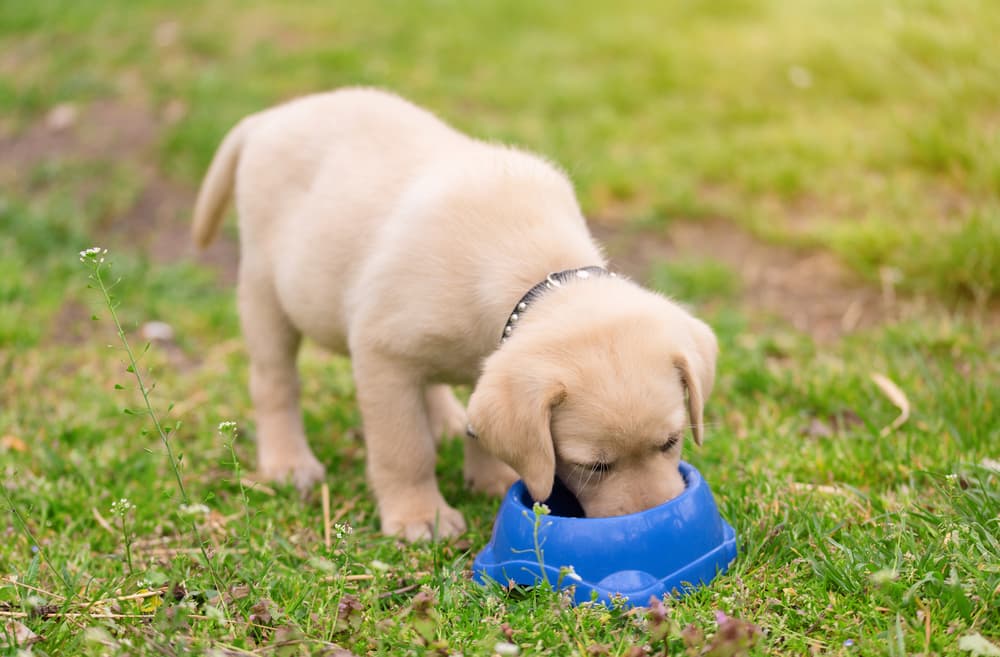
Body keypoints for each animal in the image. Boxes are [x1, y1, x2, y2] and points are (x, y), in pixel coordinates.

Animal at [189, 87, 720, 540]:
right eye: (593, 466)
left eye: (672, 441)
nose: (660, 521)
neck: (531, 265)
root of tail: (271, 117)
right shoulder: (382, 356)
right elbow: (404, 449)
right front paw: (419, 516)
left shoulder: (489, 356)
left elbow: (481, 428)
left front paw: (489, 477)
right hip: (265, 290)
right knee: (275, 382)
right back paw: (288, 462)